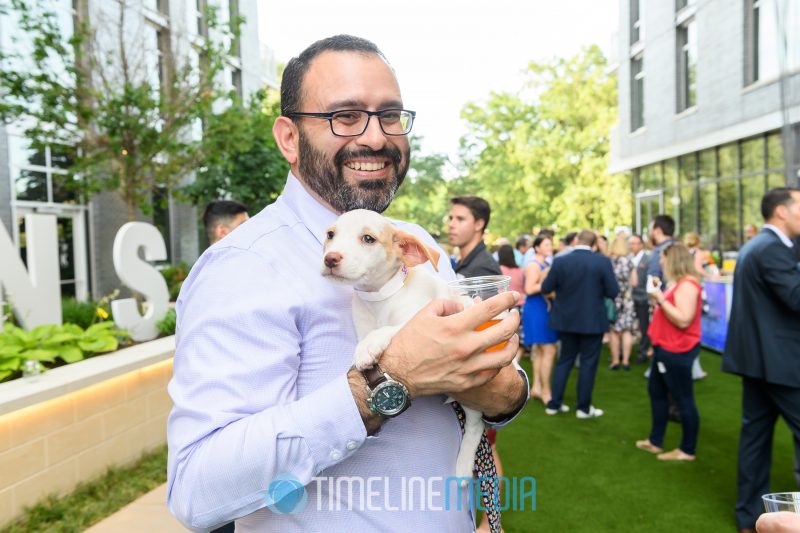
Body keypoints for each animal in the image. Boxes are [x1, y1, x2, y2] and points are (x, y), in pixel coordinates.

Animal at [322, 208, 484, 478]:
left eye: (368, 239)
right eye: (330, 235)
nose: (330, 259)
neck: (381, 299)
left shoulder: (424, 316)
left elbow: (393, 328)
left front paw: (370, 345)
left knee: (476, 425)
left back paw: (463, 466)